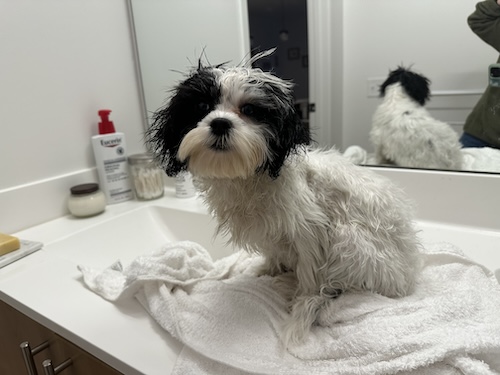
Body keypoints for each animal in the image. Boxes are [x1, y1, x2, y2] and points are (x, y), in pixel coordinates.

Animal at [149, 53, 422, 346]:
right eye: (201, 106)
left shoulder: (310, 230)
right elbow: (274, 252)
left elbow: (310, 276)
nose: (220, 122)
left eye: (250, 110)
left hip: (351, 241)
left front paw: (302, 304)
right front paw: (268, 269)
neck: (249, 178)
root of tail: (408, 277)